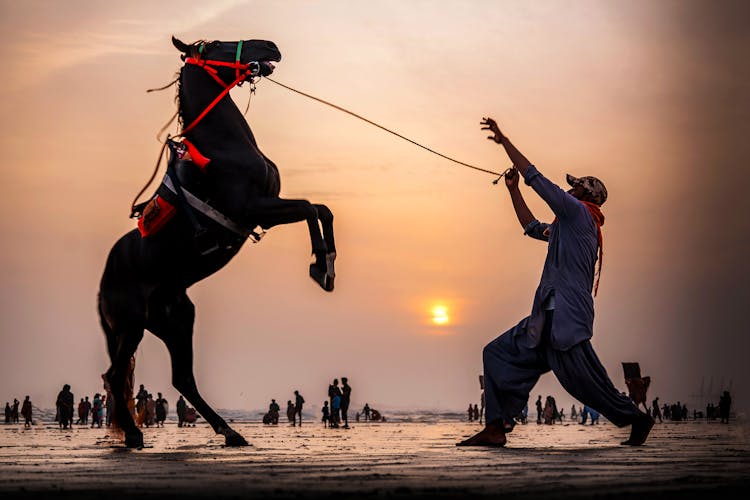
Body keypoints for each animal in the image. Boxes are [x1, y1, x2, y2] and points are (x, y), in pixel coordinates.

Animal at [97, 37, 338, 448]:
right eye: (215, 44)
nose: (269, 45)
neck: (225, 145)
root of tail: (102, 283)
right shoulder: (255, 209)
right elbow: (310, 208)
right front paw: (319, 266)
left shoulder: (268, 208)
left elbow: (321, 209)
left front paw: (328, 265)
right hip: (130, 324)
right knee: (115, 375)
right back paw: (134, 435)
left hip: (176, 319)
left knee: (182, 378)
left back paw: (230, 431)